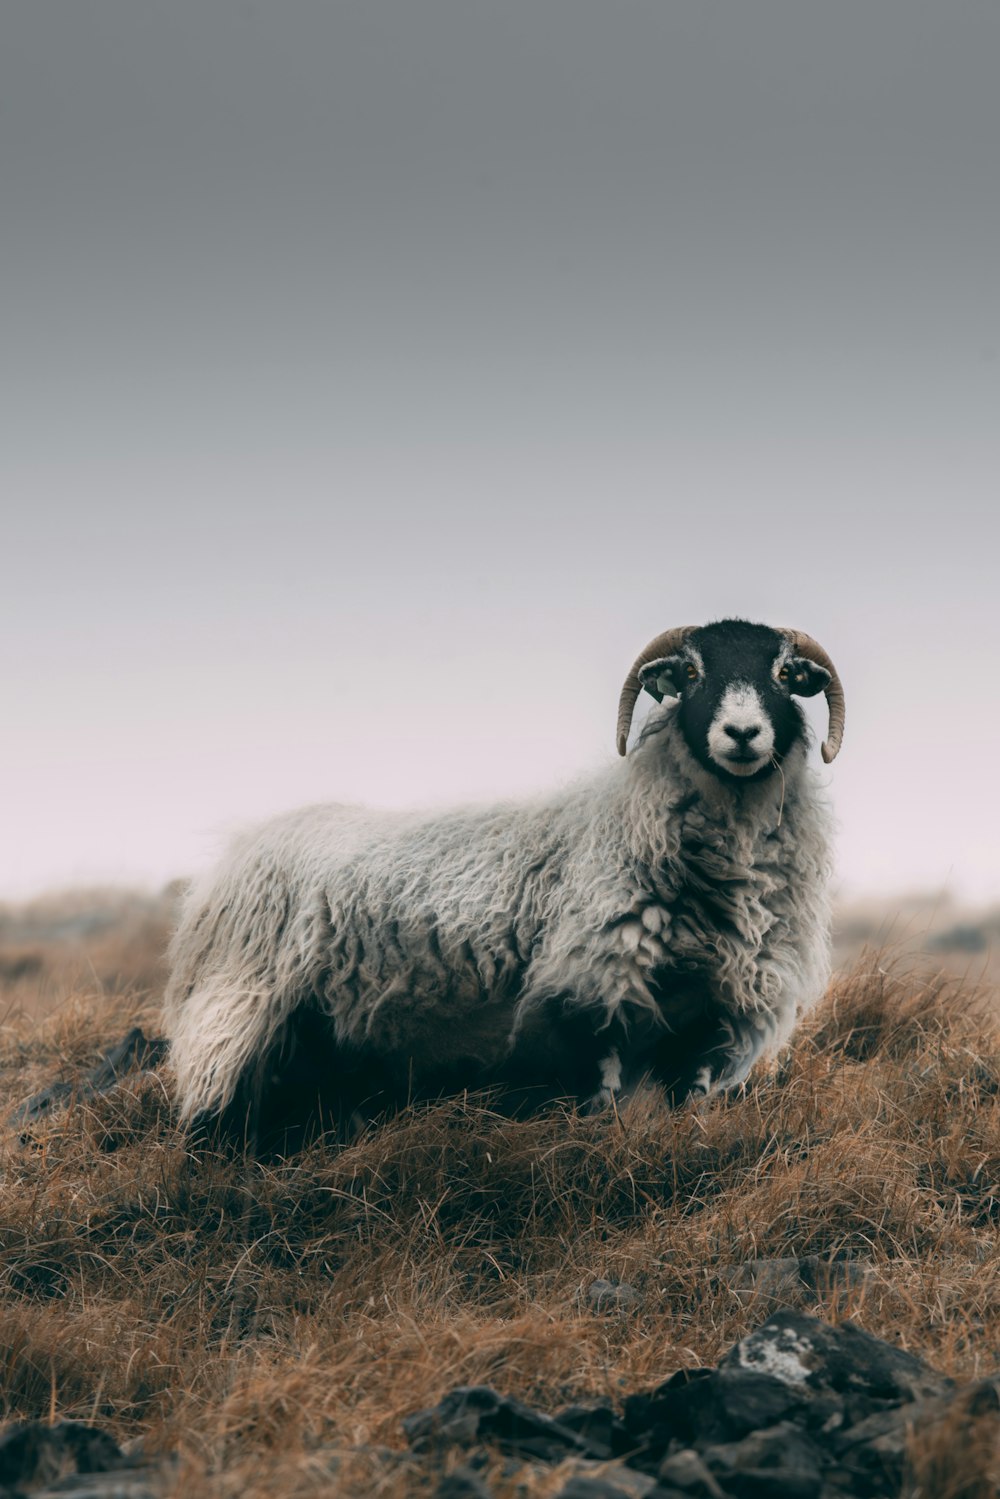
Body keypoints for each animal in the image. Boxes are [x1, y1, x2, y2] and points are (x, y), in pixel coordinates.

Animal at [164, 620, 845, 1145]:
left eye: (785, 675)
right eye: (692, 674)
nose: (742, 734)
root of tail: (233, 857)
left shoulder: (712, 1013)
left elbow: (689, 1106)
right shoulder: (594, 990)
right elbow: (600, 1102)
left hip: (321, 1034)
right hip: (238, 1015)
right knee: (217, 1114)